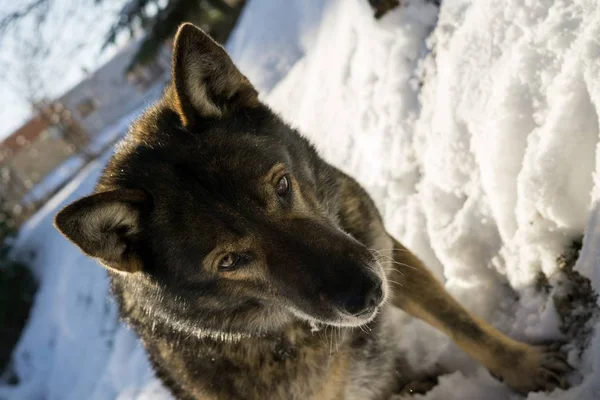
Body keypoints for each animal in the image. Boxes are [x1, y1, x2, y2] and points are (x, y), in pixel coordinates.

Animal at [55, 23, 572, 398]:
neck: (288, 328)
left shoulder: (388, 254)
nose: (367, 294)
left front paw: (523, 364)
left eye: (282, 185)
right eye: (230, 261)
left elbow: (465, 325)